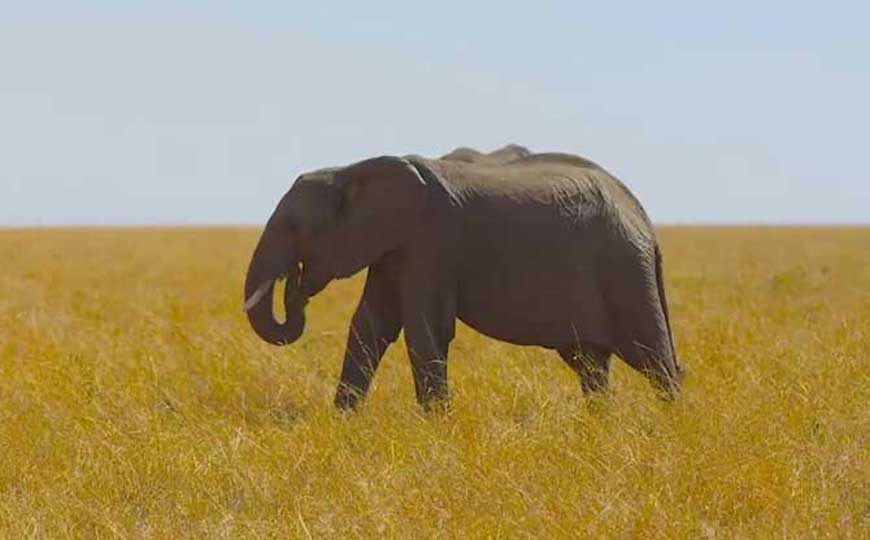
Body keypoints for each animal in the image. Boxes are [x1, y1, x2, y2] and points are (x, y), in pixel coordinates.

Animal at [244, 151, 684, 410]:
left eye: (295, 227)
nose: (295, 283)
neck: (350, 171)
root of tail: (646, 222)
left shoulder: (431, 241)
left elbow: (424, 329)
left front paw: (436, 427)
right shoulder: (393, 249)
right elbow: (369, 326)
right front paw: (343, 421)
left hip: (626, 270)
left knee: (652, 357)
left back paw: (671, 425)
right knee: (590, 363)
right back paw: (598, 424)